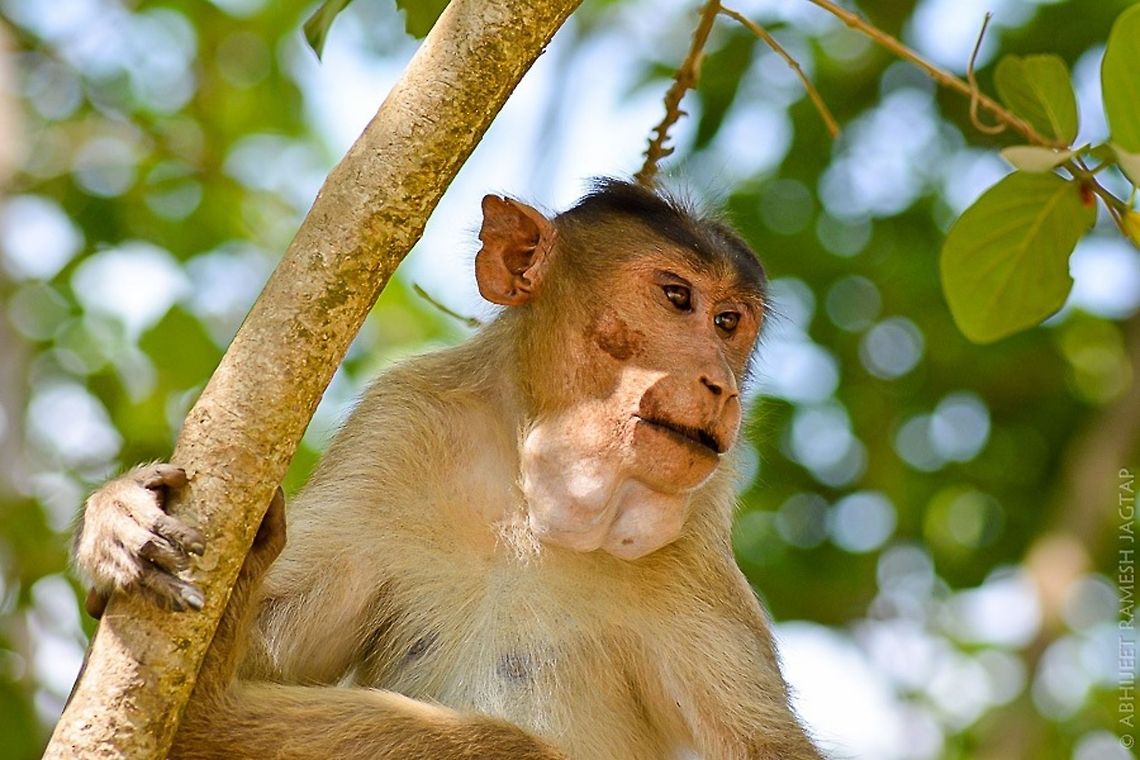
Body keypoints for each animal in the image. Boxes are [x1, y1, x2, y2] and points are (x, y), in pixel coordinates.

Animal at [72, 179, 824, 759]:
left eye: (728, 322)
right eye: (676, 298)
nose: (720, 385)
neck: (532, 487)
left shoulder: (693, 534)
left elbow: (767, 747)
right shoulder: (399, 423)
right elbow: (275, 643)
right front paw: (117, 513)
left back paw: (208, 717)